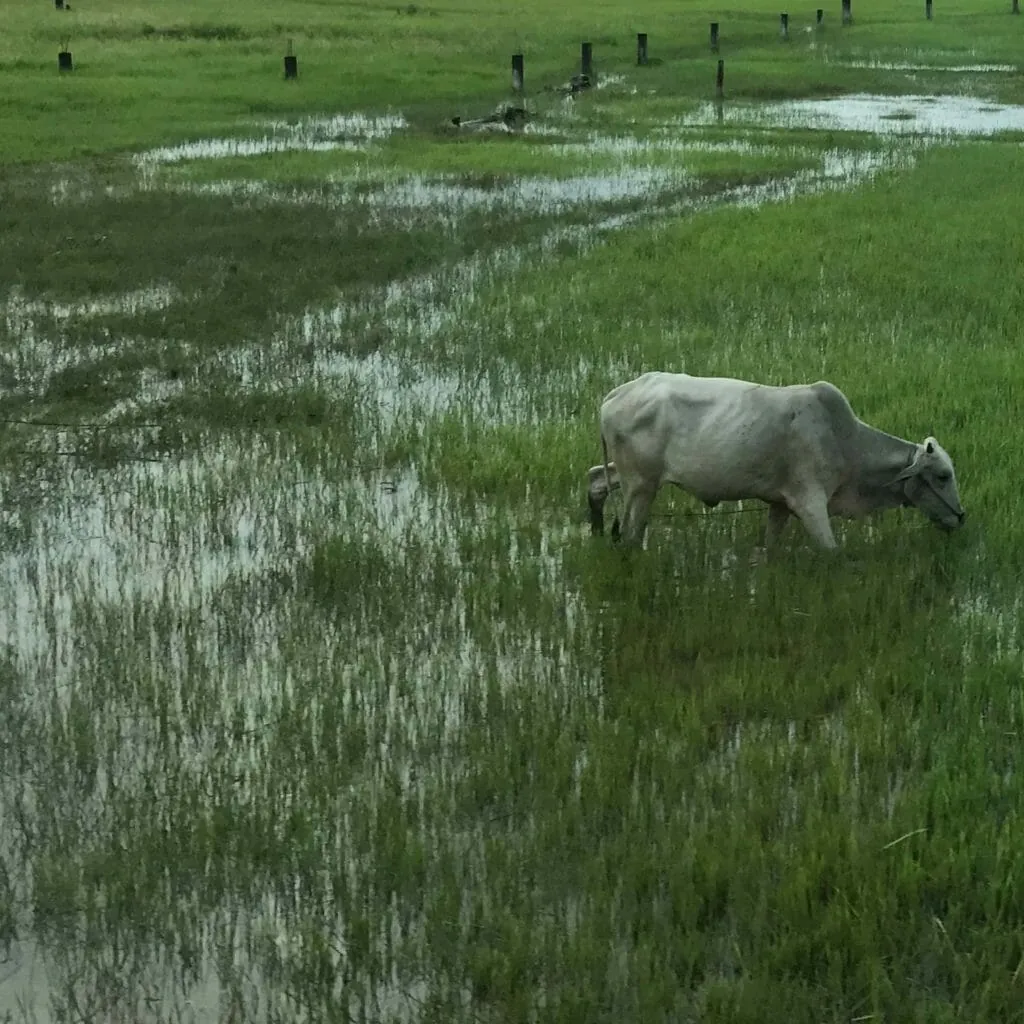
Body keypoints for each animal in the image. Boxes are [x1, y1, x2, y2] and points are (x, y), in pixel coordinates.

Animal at [586, 371, 965, 552]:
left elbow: (770, 546)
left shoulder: (780, 503)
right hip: (641, 486)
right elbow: (833, 552)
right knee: (631, 534)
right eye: (943, 476)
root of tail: (614, 395)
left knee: (595, 480)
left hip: (632, 477)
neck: (846, 442)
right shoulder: (810, 502)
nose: (960, 518)